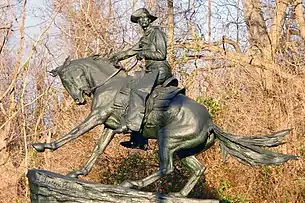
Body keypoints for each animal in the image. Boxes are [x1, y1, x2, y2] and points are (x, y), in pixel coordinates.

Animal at [32, 56, 296, 197]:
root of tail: (211, 124)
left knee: (167, 168)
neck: (109, 85)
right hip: (183, 149)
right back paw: (179, 195)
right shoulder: (109, 125)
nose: (79, 99)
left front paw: (44, 146)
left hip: (167, 141)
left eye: (68, 79)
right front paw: (78, 173)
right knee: (198, 169)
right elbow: (97, 149)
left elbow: (74, 133)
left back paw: (133, 184)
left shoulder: (97, 116)